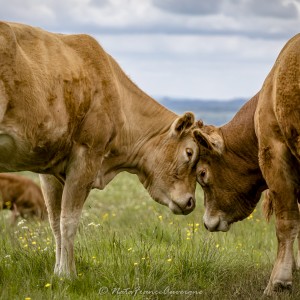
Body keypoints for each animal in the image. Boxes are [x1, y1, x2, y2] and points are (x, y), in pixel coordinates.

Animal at [0, 21, 202, 276]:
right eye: (189, 152)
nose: (191, 202)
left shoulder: (48, 169)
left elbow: (55, 221)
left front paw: (58, 272)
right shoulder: (87, 155)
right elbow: (69, 221)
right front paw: (68, 275)